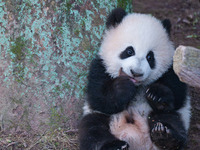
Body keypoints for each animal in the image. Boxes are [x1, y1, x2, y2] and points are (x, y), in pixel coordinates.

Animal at [78, 7, 191, 150]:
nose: (136, 73)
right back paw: (115, 145)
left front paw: (156, 94)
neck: (137, 86)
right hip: (103, 119)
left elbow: (178, 95)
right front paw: (123, 88)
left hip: (162, 117)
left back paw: (165, 137)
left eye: (150, 57)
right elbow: (99, 98)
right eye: (129, 51)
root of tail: (138, 142)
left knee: (170, 119)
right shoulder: (100, 67)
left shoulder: (171, 69)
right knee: (93, 129)